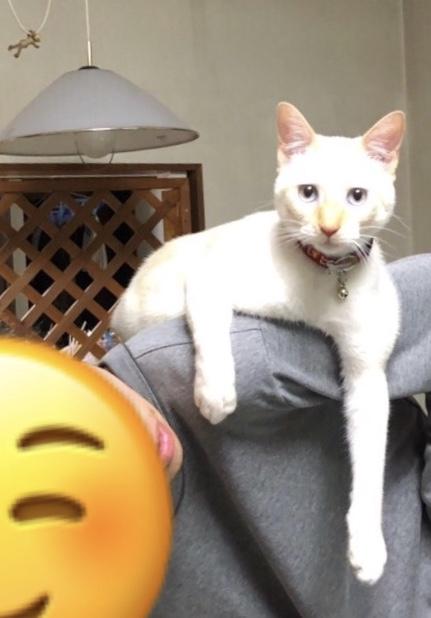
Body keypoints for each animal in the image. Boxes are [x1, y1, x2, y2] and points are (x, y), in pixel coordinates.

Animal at [111, 102, 405, 585]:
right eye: (308, 192)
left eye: (357, 196)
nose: (328, 227)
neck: (325, 277)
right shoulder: (209, 279)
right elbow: (214, 327)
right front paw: (215, 395)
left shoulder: (368, 376)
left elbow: (370, 461)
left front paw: (368, 546)